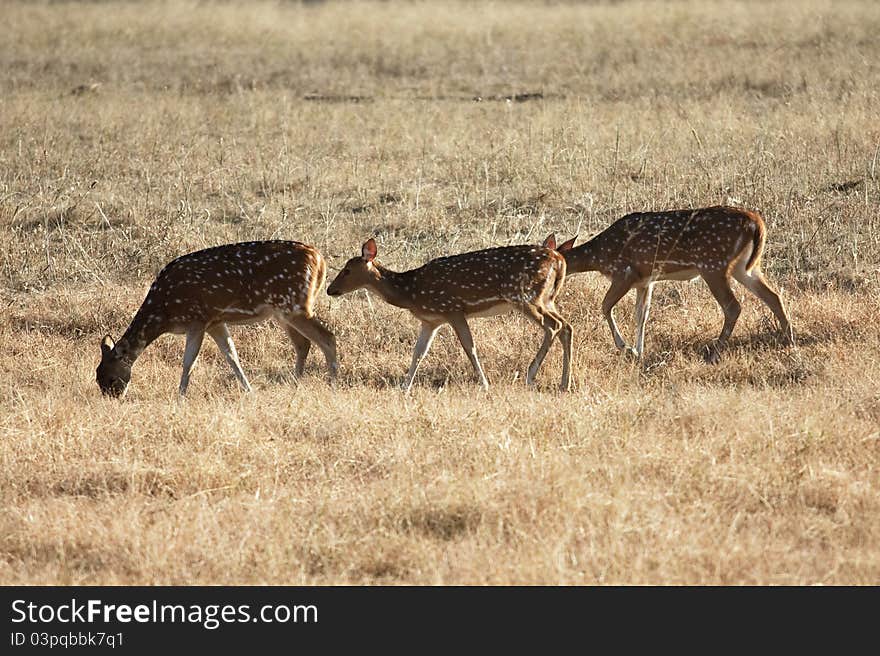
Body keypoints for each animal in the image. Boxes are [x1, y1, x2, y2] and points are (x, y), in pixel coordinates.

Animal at [96, 240, 336, 398]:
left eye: (110, 377)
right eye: (97, 377)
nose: (113, 398)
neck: (165, 311)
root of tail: (320, 260)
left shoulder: (197, 318)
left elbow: (189, 361)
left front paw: (180, 396)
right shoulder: (216, 321)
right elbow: (231, 355)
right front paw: (249, 391)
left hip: (295, 305)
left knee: (327, 337)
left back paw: (332, 385)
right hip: (284, 310)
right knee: (303, 343)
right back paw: (295, 386)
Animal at [326, 238, 576, 392]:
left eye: (347, 270)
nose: (330, 290)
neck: (410, 293)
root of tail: (560, 260)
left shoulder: (452, 309)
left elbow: (469, 347)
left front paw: (484, 384)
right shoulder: (431, 321)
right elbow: (419, 353)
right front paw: (405, 387)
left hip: (524, 295)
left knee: (553, 325)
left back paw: (530, 374)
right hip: (546, 298)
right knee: (566, 325)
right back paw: (565, 383)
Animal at [552, 205, 796, 362]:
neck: (600, 255)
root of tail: (757, 223)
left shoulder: (624, 273)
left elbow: (605, 306)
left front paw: (626, 348)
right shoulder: (645, 280)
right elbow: (642, 314)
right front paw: (639, 352)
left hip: (713, 264)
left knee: (733, 306)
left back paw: (714, 353)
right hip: (745, 266)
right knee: (773, 296)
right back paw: (789, 340)